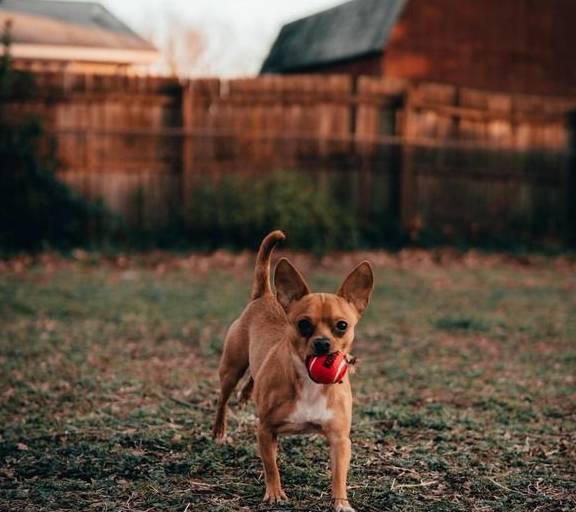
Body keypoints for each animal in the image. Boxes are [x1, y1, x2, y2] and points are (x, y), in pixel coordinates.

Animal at [213, 232, 374, 512]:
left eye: (342, 326)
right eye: (304, 324)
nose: (322, 343)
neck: (310, 383)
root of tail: (265, 295)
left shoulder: (339, 440)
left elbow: (338, 475)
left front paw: (341, 502)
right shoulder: (266, 431)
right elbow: (271, 467)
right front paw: (275, 493)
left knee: (253, 376)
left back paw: (246, 395)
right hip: (231, 368)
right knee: (223, 398)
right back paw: (219, 430)